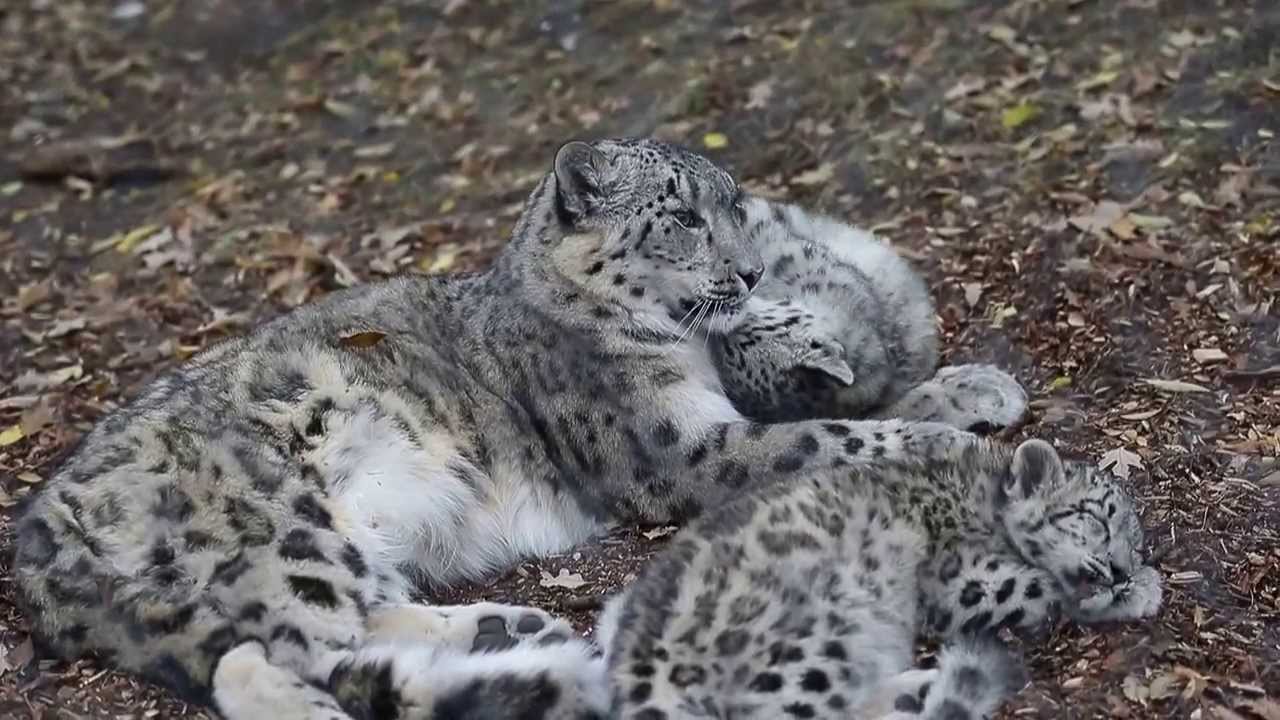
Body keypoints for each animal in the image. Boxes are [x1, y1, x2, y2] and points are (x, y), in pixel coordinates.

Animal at [597, 437, 1164, 719]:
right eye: (1096, 516)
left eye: (1135, 544)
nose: (1120, 568)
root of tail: (638, 659)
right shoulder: (960, 580)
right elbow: (1041, 585)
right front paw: (1141, 591)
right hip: (814, 642)